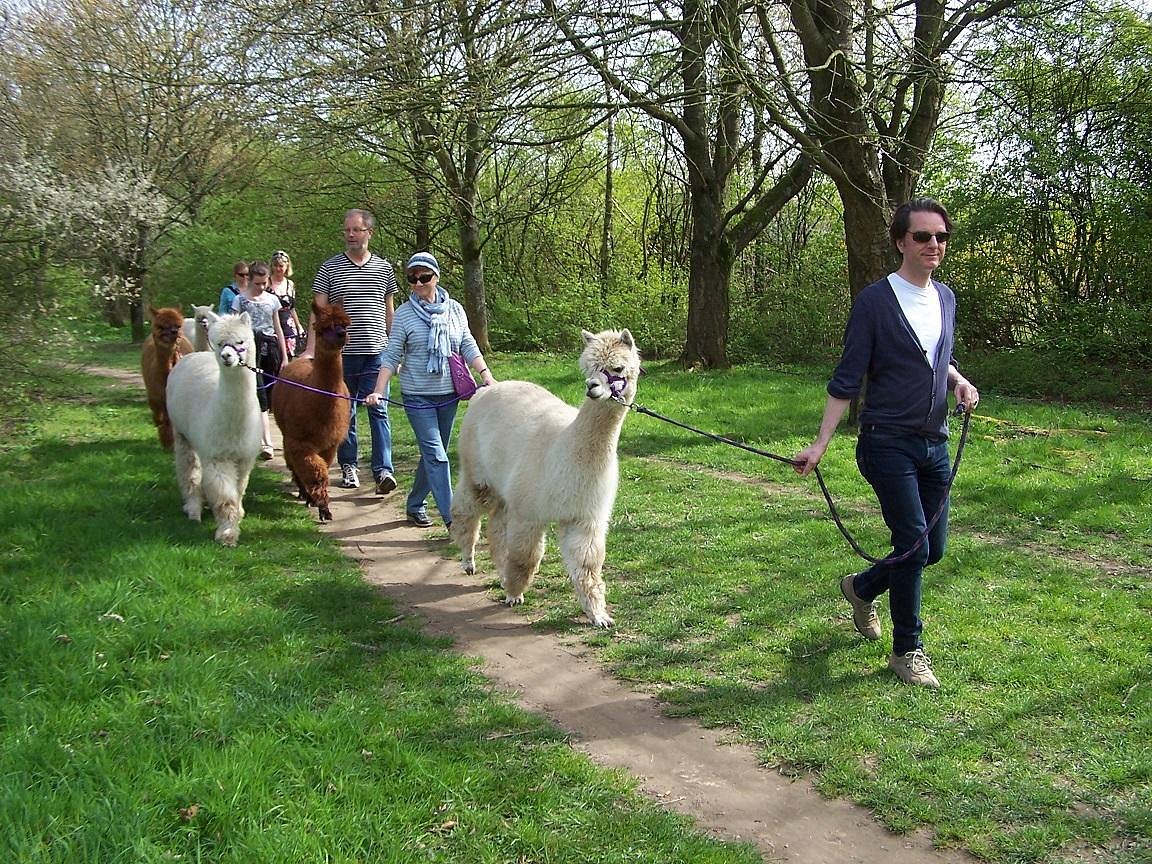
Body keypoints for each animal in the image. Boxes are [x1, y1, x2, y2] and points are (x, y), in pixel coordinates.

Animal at [141, 305, 195, 449]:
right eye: (160, 326)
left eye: (178, 325)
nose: (174, 332)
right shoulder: (156, 394)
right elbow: (162, 418)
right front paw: (166, 442)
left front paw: (169, 442)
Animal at [165, 312, 262, 546]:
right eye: (219, 343)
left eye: (241, 342)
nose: (227, 356)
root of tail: (194, 355)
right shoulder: (218, 456)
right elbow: (225, 497)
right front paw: (227, 534)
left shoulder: (244, 457)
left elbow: (239, 489)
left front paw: (238, 514)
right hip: (182, 433)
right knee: (189, 470)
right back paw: (193, 508)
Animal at [271, 302, 352, 522]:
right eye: (323, 328)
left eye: (344, 324)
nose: (342, 335)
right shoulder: (300, 441)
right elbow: (315, 473)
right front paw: (321, 506)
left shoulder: (330, 443)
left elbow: (323, 469)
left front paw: (322, 505)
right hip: (287, 433)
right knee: (292, 462)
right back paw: (303, 493)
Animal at [451, 328, 641, 627]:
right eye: (588, 367)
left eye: (617, 368)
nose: (592, 387)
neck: (564, 450)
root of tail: (487, 388)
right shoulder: (529, 512)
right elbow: (525, 557)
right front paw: (514, 594)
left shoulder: (584, 518)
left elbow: (587, 566)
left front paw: (599, 615)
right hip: (478, 473)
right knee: (465, 510)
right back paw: (468, 560)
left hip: (506, 488)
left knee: (496, 525)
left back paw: (500, 572)